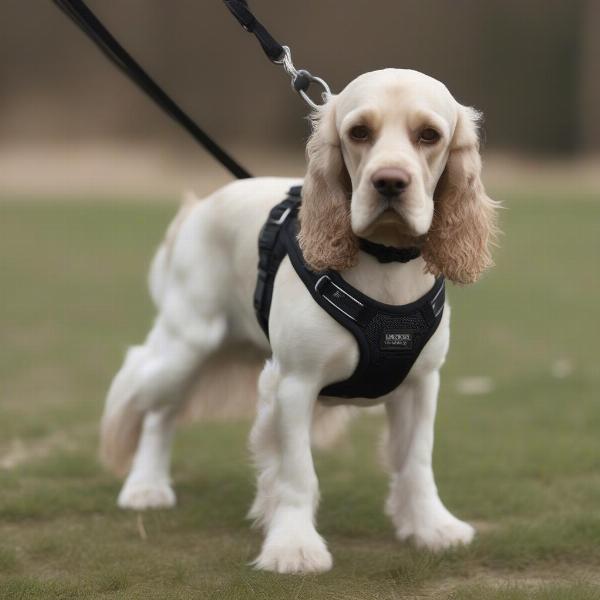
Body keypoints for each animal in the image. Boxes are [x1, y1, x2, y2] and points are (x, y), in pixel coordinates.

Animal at [101, 69, 500, 572]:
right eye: (358, 132)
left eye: (429, 135)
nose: (390, 182)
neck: (384, 264)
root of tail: (197, 208)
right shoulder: (295, 383)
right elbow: (296, 473)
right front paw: (293, 546)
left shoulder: (421, 383)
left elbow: (416, 462)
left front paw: (432, 527)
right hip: (185, 346)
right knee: (151, 398)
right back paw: (145, 486)